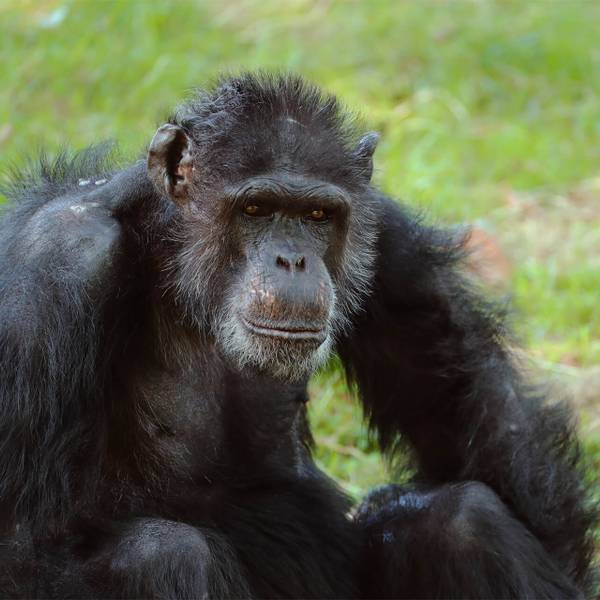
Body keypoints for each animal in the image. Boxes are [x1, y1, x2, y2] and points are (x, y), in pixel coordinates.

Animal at [0, 72, 596, 596]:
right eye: (255, 208)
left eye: (317, 214)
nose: (293, 259)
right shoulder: (53, 266)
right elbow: (21, 548)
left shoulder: (388, 233)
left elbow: (478, 424)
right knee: (163, 555)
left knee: (464, 519)